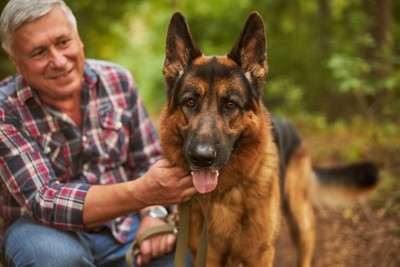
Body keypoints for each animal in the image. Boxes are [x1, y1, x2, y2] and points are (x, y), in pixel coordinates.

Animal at [158, 11, 380, 266]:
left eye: (230, 105)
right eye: (190, 102)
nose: (201, 158)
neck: (225, 194)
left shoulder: (260, 254)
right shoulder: (207, 256)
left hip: (300, 220)